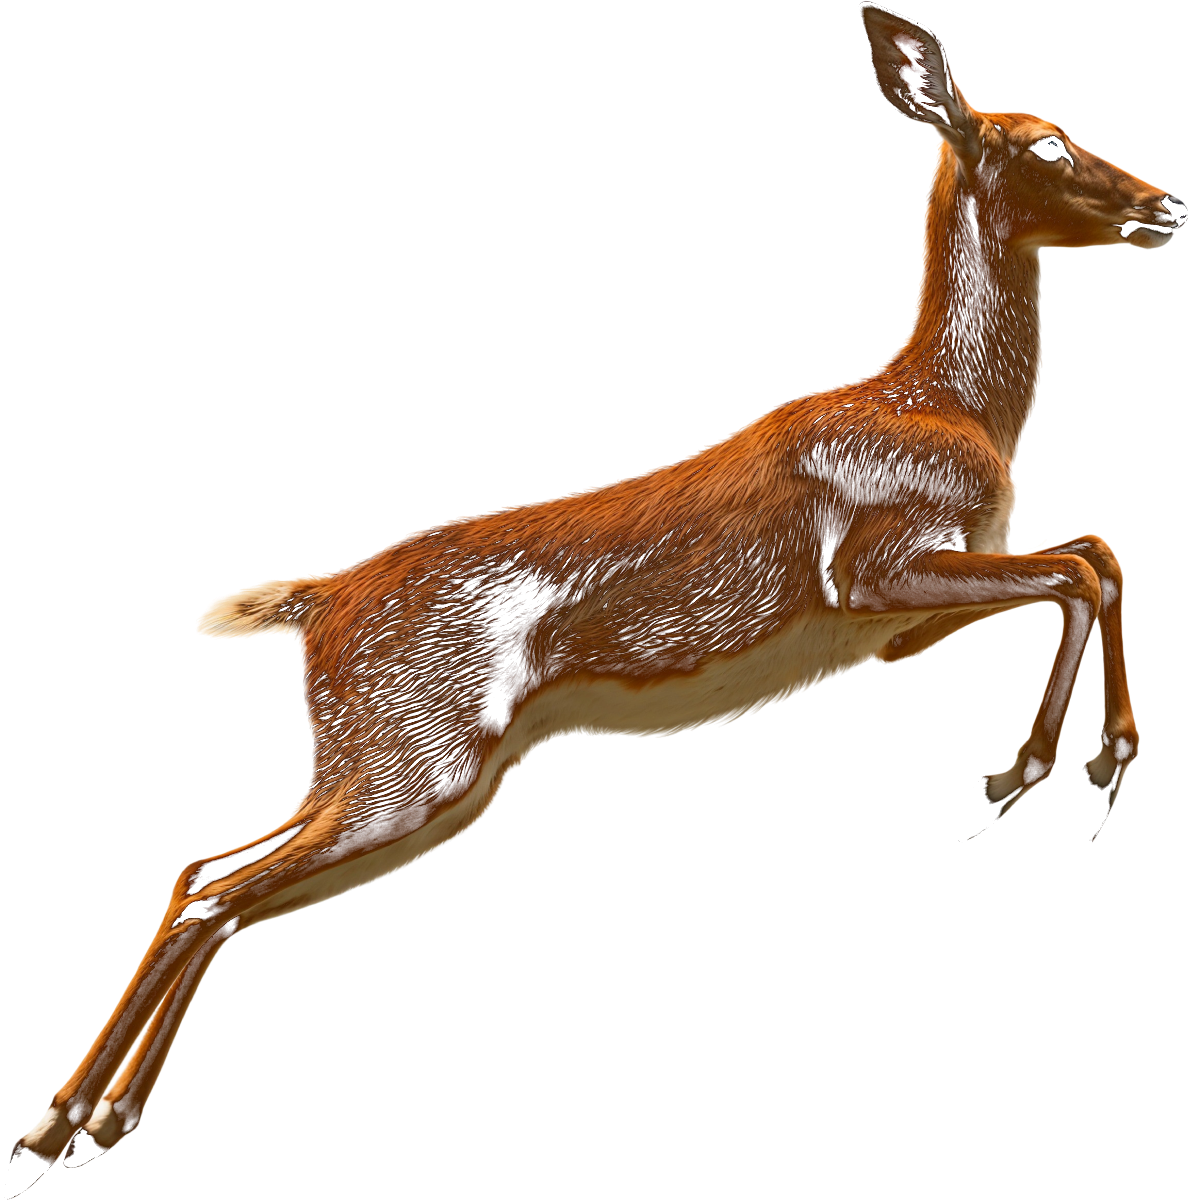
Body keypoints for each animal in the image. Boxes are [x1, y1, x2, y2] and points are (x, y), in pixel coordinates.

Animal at [6, 4, 1185, 1195]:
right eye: (1048, 141)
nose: (1166, 205)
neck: (944, 403)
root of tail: (317, 601)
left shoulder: (897, 629)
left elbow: (1095, 552)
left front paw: (1058, 781)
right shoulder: (881, 572)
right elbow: (1082, 568)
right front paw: (1033, 787)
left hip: (406, 786)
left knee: (210, 880)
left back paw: (83, 1130)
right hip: (408, 775)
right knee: (209, 888)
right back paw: (43, 1139)